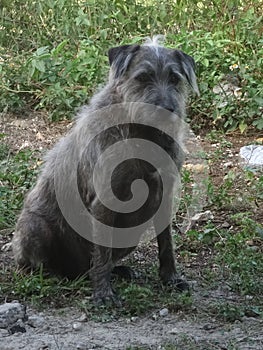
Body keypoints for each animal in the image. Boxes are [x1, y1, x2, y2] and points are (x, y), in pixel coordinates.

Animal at [11, 36, 198, 304]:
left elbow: (167, 244)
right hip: (34, 227)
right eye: (143, 77)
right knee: (40, 265)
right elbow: (101, 252)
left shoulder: (165, 195)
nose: (166, 110)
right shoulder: (105, 202)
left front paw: (170, 278)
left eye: (174, 78)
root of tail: (75, 271)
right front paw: (103, 293)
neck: (142, 133)